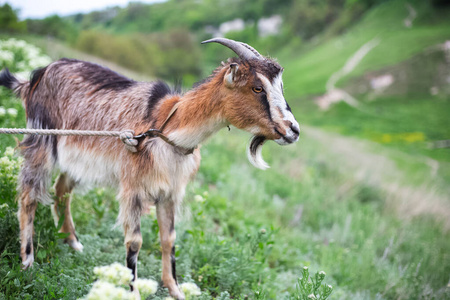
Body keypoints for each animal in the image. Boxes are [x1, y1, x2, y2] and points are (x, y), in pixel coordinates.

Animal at [0, 38, 298, 298]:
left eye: (281, 87)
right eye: (257, 88)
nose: (293, 131)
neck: (165, 131)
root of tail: (37, 76)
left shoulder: (170, 192)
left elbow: (169, 238)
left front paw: (176, 290)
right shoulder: (133, 188)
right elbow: (135, 242)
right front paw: (132, 292)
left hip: (77, 161)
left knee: (62, 190)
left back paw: (72, 242)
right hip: (42, 140)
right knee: (28, 196)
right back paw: (28, 262)